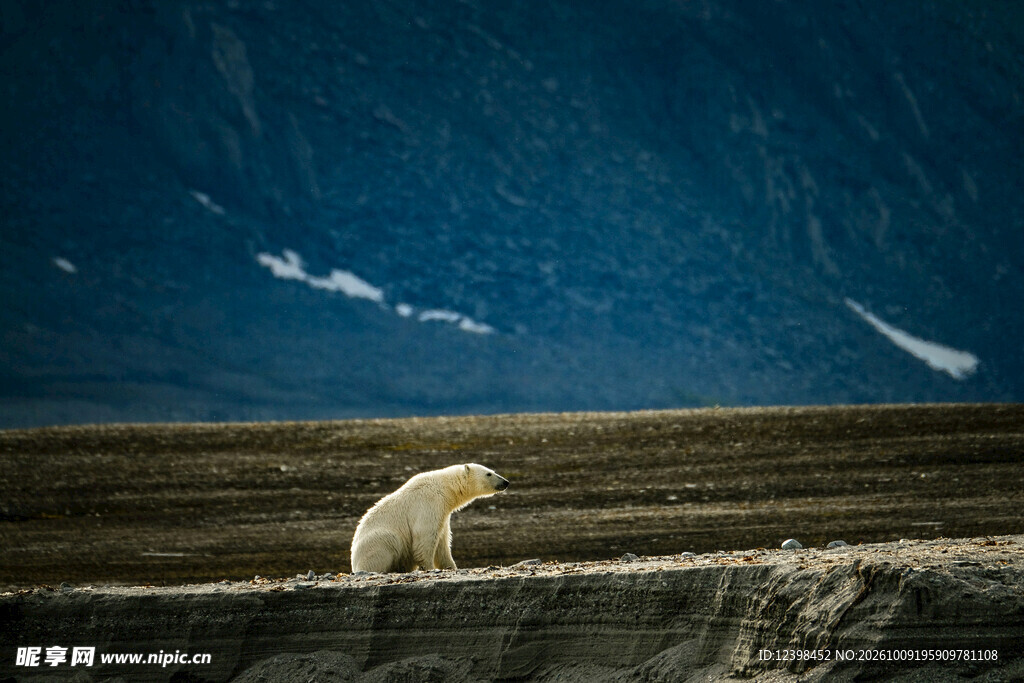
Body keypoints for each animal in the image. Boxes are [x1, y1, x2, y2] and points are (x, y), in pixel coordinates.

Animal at [350, 463, 510, 573]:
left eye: (494, 471)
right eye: (489, 473)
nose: (506, 482)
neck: (444, 487)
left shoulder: (443, 513)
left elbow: (443, 543)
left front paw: (451, 567)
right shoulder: (428, 504)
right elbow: (425, 538)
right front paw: (429, 567)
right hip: (377, 542)